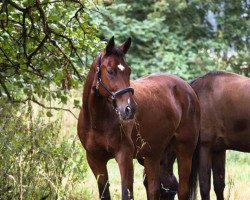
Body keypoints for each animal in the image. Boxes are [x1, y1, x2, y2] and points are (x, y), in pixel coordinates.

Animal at [77, 36, 200, 199]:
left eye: (129, 71)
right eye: (110, 71)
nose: (130, 109)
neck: (96, 122)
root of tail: (188, 88)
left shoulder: (125, 157)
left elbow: (127, 193)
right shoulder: (95, 160)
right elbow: (105, 194)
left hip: (184, 150)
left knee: (181, 190)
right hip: (154, 155)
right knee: (156, 188)